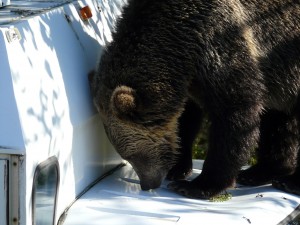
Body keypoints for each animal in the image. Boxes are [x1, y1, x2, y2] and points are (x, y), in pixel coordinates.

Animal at [89, 0, 300, 199]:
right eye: (125, 154)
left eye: (133, 155)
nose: (147, 184)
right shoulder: (189, 81)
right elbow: (186, 119)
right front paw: (178, 168)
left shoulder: (221, 41)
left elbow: (235, 111)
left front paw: (197, 185)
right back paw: (259, 172)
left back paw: (289, 182)